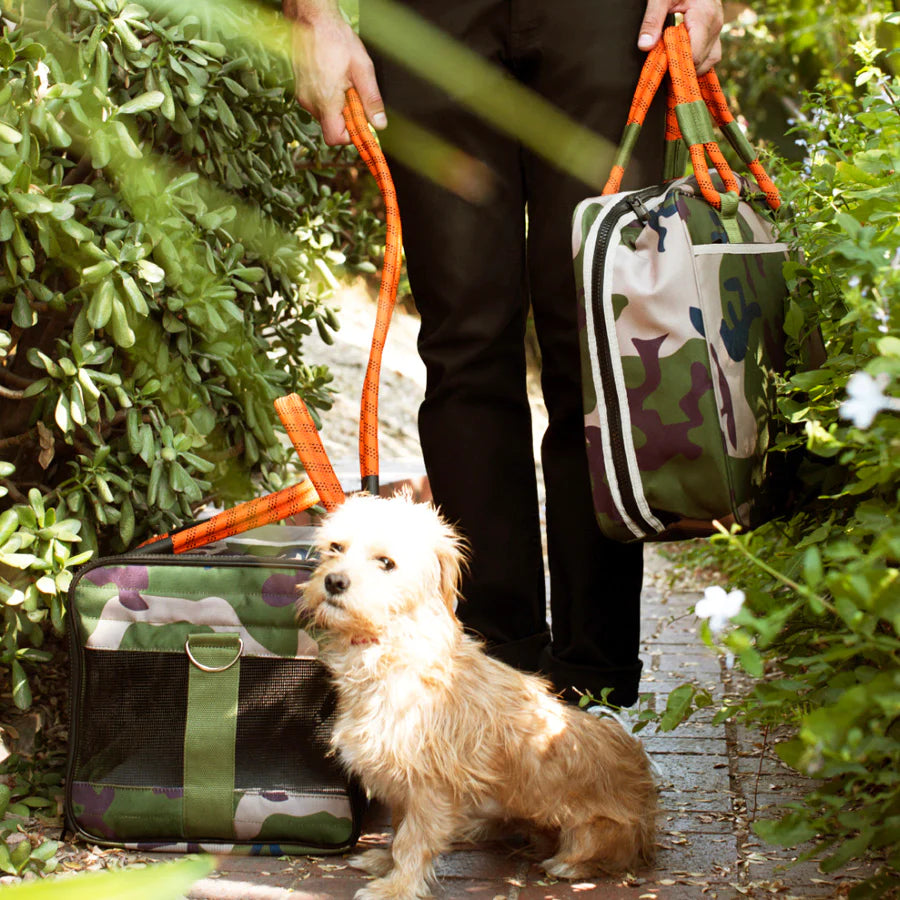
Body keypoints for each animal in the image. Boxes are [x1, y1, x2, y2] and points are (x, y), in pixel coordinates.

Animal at [298, 492, 656, 900]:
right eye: (335, 548)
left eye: (386, 562)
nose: (334, 581)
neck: (387, 647)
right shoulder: (404, 782)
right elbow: (399, 827)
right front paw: (385, 863)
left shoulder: (430, 785)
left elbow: (412, 840)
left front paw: (397, 886)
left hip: (598, 830)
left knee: (604, 851)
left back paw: (569, 864)